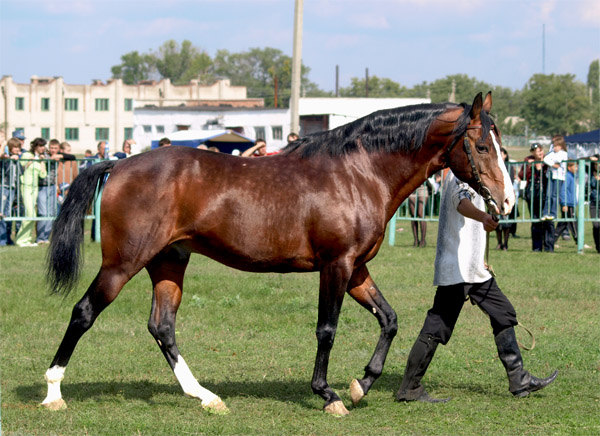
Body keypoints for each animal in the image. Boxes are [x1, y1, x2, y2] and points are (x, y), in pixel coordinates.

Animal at [42, 91, 512, 416]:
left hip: (169, 261)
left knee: (162, 327)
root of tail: (119, 164)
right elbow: (327, 330)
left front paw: (362, 384)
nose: (506, 204)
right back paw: (53, 392)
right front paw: (328, 395)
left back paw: (205, 396)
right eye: (482, 147)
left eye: (503, 147)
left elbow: (390, 320)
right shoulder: (336, 266)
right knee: (84, 312)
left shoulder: (357, 269)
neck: (358, 174)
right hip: (123, 264)